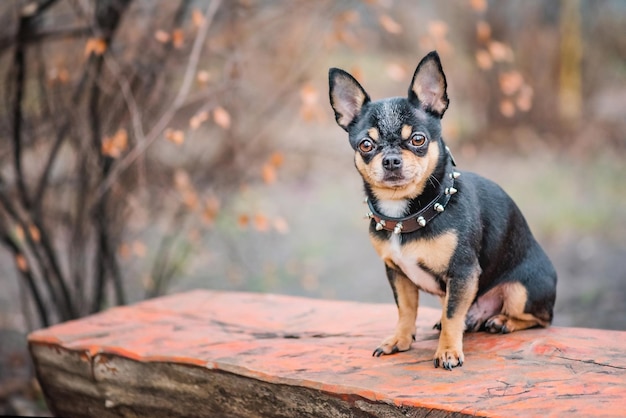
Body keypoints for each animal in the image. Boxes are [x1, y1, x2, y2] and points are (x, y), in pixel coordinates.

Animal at [326, 51, 556, 370]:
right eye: (366, 145)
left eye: (418, 139)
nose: (391, 160)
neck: (407, 214)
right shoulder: (397, 273)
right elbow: (406, 310)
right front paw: (399, 340)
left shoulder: (462, 272)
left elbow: (452, 315)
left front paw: (448, 351)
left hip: (522, 289)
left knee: (541, 318)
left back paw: (503, 321)